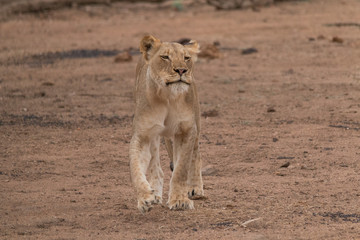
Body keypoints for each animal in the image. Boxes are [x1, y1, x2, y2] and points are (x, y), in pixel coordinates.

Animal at [129, 35, 204, 212]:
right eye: (165, 57)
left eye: (186, 58)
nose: (181, 70)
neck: (167, 97)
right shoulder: (143, 134)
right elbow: (135, 167)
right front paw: (145, 197)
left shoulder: (186, 131)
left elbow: (181, 169)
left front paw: (179, 200)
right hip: (156, 137)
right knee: (155, 166)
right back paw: (155, 193)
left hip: (195, 126)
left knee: (195, 156)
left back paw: (195, 189)